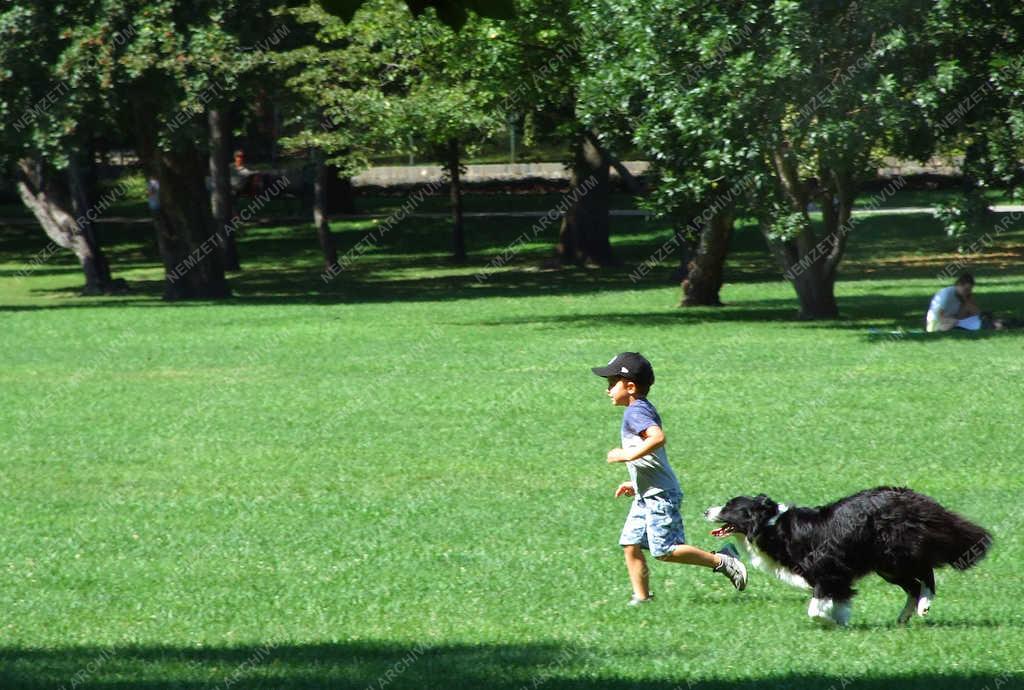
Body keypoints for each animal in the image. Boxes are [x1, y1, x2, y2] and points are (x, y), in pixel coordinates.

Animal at [704, 483, 991, 622]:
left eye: (729, 507)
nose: (705, 510)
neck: (770, 525)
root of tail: (916, 499)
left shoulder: (829, 571)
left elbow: (816, 607)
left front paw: (828, 622)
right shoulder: (835, 578)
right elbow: (837, 601)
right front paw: (841, 621)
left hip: (896, 552)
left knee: (926, 573)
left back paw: (924, 606)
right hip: (885, 565)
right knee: (912, 585)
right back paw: (903, 616)